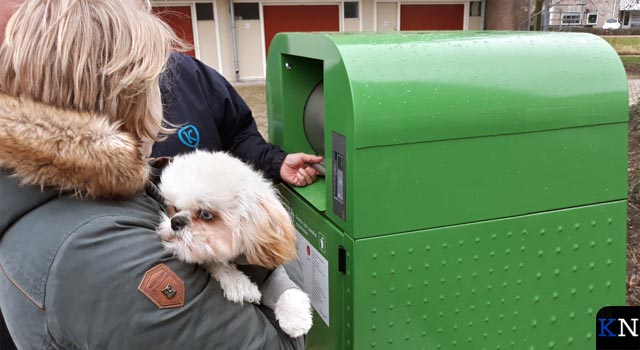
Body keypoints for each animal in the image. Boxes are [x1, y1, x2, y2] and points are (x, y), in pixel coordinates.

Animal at [158, 150, 312, 336]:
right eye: (175, 208)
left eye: (205, 214)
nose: (175, 222)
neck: (240, 258)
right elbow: (218, 264)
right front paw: (241, 285)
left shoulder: (271, 271)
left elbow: (288, 289)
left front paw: (295, 317)